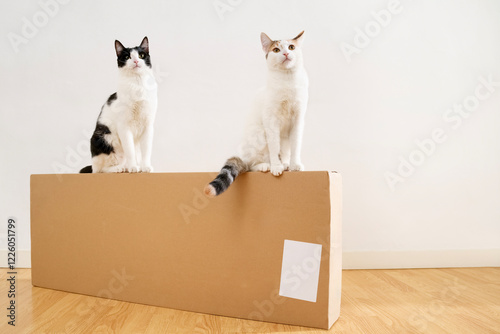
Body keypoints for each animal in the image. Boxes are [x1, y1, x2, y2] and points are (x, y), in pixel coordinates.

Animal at [79, 36, 156, 174]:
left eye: (141, 55)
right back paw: (121, 167)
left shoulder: (148, 125)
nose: (136, 61)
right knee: (101, 169)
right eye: (127, 57)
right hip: (104, 138)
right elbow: (130, 150)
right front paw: (133, 167)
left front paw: (145, 166)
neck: (137, 85)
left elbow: (146, 150)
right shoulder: (124, 127)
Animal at [204, 30, 308, 196]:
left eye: (291, 47)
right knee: (250, 166)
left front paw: (294, 165)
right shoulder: (271, 121)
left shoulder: (298, 120)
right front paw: (276, 167)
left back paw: (285, 164)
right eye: (276, 50)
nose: (285, 53)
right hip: (259, 136)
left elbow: (296, 145)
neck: (287, 81)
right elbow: (274, 147)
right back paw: (266, 165)